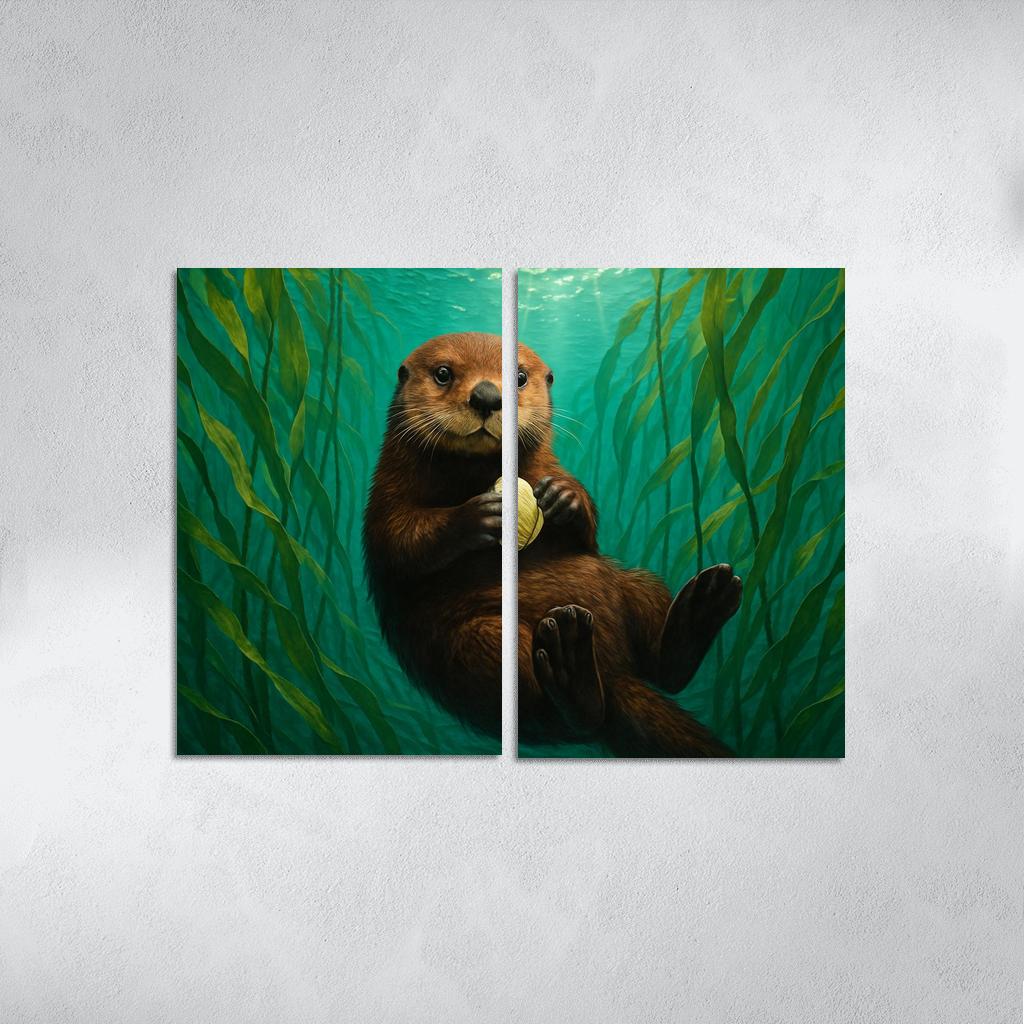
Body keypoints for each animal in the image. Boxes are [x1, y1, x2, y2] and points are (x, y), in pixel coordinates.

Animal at [363, 332, 741, 756]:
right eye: (443, 373)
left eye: (520, 377)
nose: (486, 396)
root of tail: (615, 674)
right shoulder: (387, 494)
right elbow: (398, 538)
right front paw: (476, 515)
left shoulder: (551, 470)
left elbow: (587, 533)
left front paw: (565, 498)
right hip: (478, 645)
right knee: (570, 712)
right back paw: (571, 662)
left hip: (633, 584)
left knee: (662, 667)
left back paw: (700, 607)